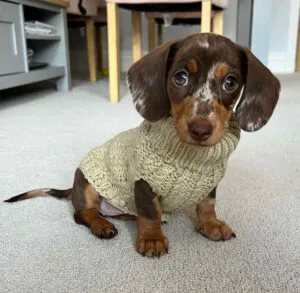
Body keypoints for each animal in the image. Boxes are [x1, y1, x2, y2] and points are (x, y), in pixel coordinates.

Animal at [5, 34, 282, 258]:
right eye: (180, 78)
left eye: (231, 82)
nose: (200, 130)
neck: (191, 158)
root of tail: (72, 188)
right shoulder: (144, 182)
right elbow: (150, 213)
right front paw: (151, 238)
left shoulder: (209, 183)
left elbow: (207, 205)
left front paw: (211, 225)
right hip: (87, 184)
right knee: (82, 214)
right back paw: (101, 225)